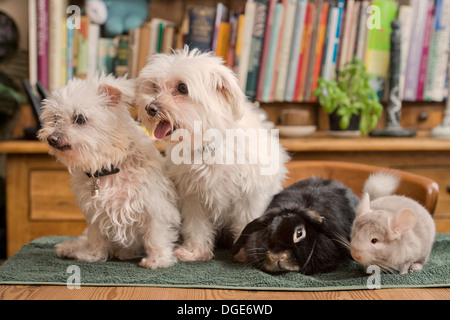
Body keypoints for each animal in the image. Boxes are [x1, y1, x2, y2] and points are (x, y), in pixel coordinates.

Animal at [37, 74, 181, 268]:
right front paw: (93, 255)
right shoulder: (95, 211)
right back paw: (69, 248)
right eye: (55, 117)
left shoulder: (155, 206)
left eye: (80, 118)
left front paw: (157, 259)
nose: (52, 138)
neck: (108, 166)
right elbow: (96, 237)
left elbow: (156, 235)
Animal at [135, 48, 288, 262]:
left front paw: (245, 253)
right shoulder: (193, 196)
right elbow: (197, 227)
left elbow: (247, 223)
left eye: (182, 88)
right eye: (154, 86)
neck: (207, 145)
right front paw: (195, 251)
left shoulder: (250, 196)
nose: (150, 108)